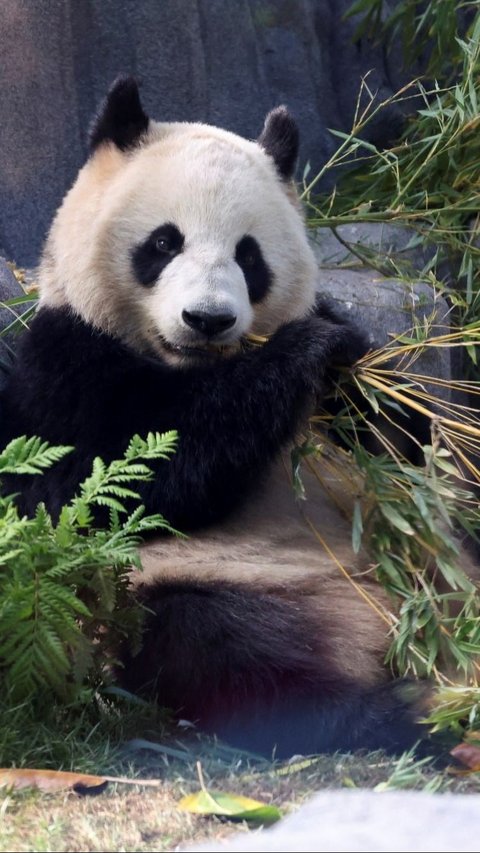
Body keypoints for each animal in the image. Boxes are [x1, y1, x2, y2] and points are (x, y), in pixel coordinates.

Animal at [0, 76, 442, 756]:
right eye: (164, 242)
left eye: (249, 256)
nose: (207, 319)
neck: (192, 367)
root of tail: (382, 634)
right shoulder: (65, 365)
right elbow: (98, 487)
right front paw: (309, 350)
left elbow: (403, 446)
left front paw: (353, 365)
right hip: (190, 589)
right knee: (221, 645)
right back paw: (380, 715)